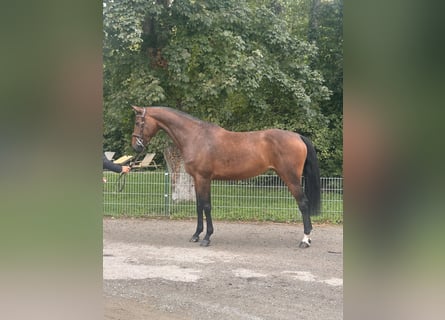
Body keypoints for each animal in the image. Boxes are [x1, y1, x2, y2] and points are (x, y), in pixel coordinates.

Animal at [128, 106, 320, 249]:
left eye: (138, 122)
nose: (136, 146)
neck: (196, 136)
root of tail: (298, 136)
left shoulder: (204, 178)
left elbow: (206, 206)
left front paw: (207, 238)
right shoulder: (197, 180)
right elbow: (199, 206)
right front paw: (196, 235)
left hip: (291, 179)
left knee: (303, 204)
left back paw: (305, 240)